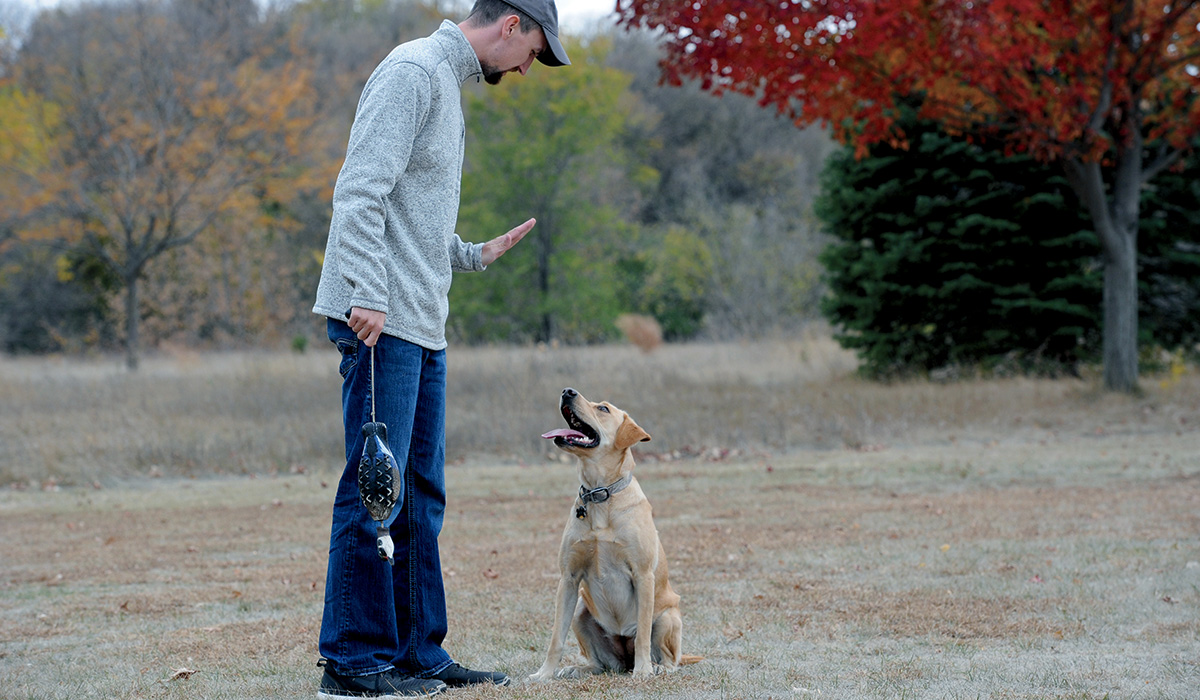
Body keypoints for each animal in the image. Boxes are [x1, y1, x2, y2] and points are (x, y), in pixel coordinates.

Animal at [528, 386, 691, 681]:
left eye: (603, 408)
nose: (567, 391)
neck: (599, 494)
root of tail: (623, 661)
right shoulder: (568, 579)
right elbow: (556, 637)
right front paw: (543, 674)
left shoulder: (643, 575)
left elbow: (642, 634)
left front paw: (643, 671)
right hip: (581, 612)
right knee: (602, 665)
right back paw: (578, 668)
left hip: (667, 617)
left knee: (669, 657)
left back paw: (657, 667)